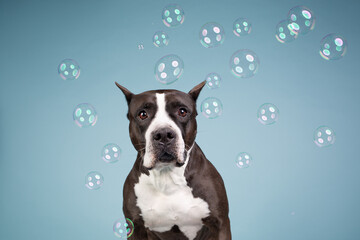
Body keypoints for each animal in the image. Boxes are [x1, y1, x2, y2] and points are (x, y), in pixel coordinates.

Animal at [116, 81, 232, 240]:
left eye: (182, 112)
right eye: (142, 114)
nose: (164, 134)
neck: (167, 177)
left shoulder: (220, 224)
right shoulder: (135, 227)